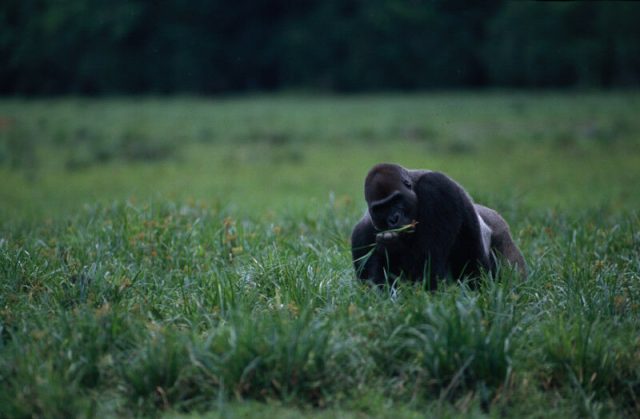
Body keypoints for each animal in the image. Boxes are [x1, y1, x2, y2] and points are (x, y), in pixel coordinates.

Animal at [350, 163, 524, 288]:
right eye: (380, 208)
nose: (394, 219)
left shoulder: (436, 187)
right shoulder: (360, 234)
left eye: (396, 200)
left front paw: (392, 245)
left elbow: (428, 273)